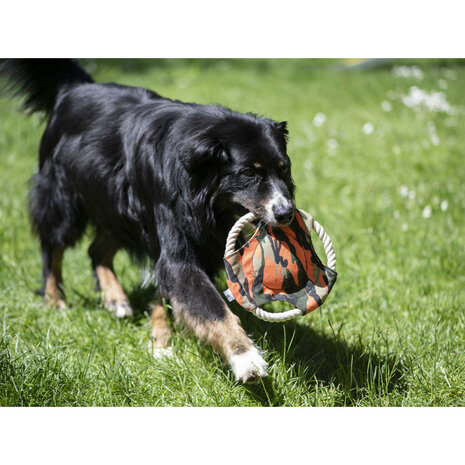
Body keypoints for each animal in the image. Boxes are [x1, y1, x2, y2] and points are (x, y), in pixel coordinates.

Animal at [0, 59, 296, 382]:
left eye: (284, 169)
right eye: (249, 173)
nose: (286, 213)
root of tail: (75, 87)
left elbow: (166, 290)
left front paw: (161, 339)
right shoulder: (173, 229)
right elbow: (210, 305)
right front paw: (245, 356)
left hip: (118, 209)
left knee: (96, 250)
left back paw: (115, 299)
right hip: (63, 195)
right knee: (53, 246)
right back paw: (55, 302)